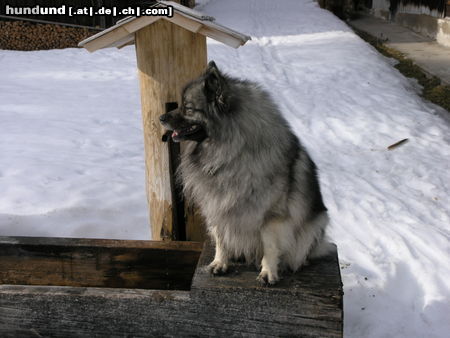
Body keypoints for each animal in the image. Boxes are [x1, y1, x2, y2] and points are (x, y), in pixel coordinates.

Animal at [160, 61, 328, 286]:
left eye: (188, 108)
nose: (161, 117)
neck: (230, 152)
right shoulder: (217, 206)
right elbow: (221, 237)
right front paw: (220, 263)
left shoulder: (271, 217)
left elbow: (270, 246)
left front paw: (268, 272)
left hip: (317, 223)